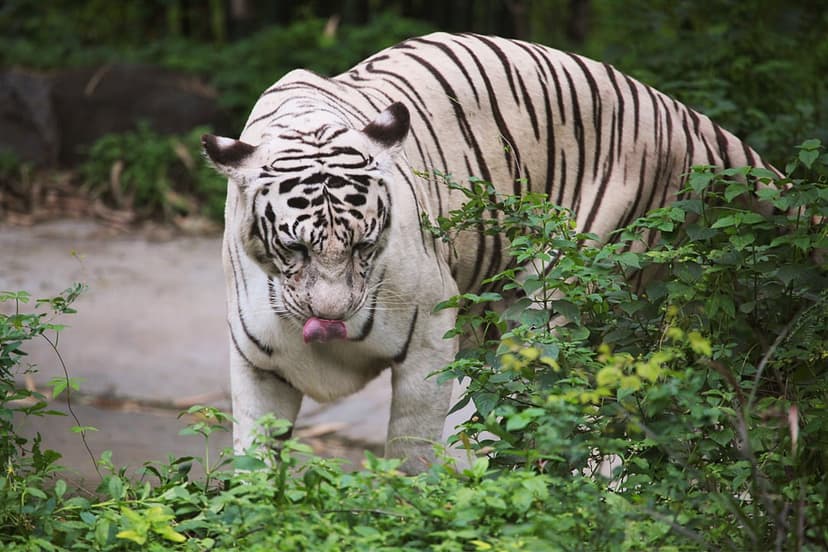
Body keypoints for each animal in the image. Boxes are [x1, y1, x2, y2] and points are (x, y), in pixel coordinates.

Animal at [202, 32, 774, 473]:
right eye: (295, 249)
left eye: (364, 244)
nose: (332, 318)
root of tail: (675, 110)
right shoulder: (259, 365)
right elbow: (254, 460)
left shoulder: (430, 338)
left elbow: (410, 449)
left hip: (559, 306)